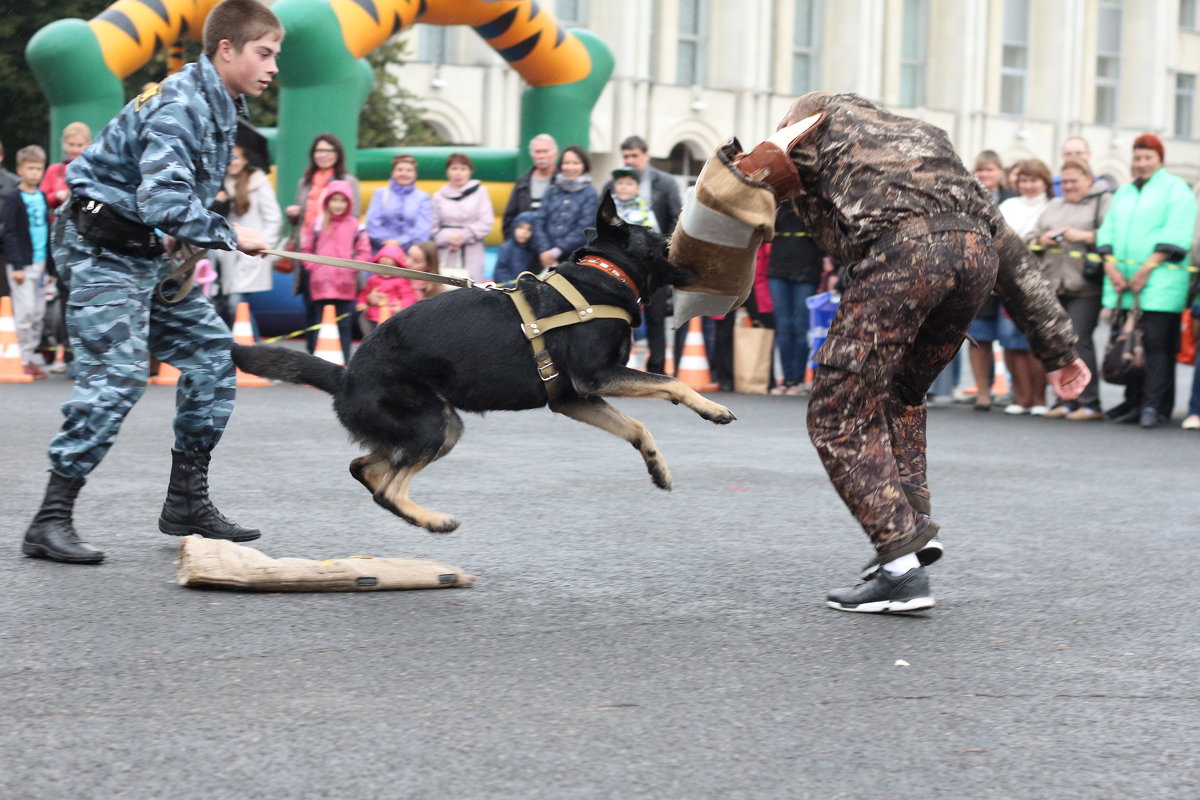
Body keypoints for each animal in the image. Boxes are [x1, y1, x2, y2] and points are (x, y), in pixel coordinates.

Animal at [230, 194, 734, 532]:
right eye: (661, 239)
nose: (697, 259)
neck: (600, 279)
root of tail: (345, 373)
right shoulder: (597, 378)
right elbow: (670, 381)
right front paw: (711, 408)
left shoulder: (575, 398)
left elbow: (637, 428)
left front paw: (657, 466)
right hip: (431, 425)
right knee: (387, 488)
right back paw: (434, 521)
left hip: (441, 427)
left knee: (367, 469)